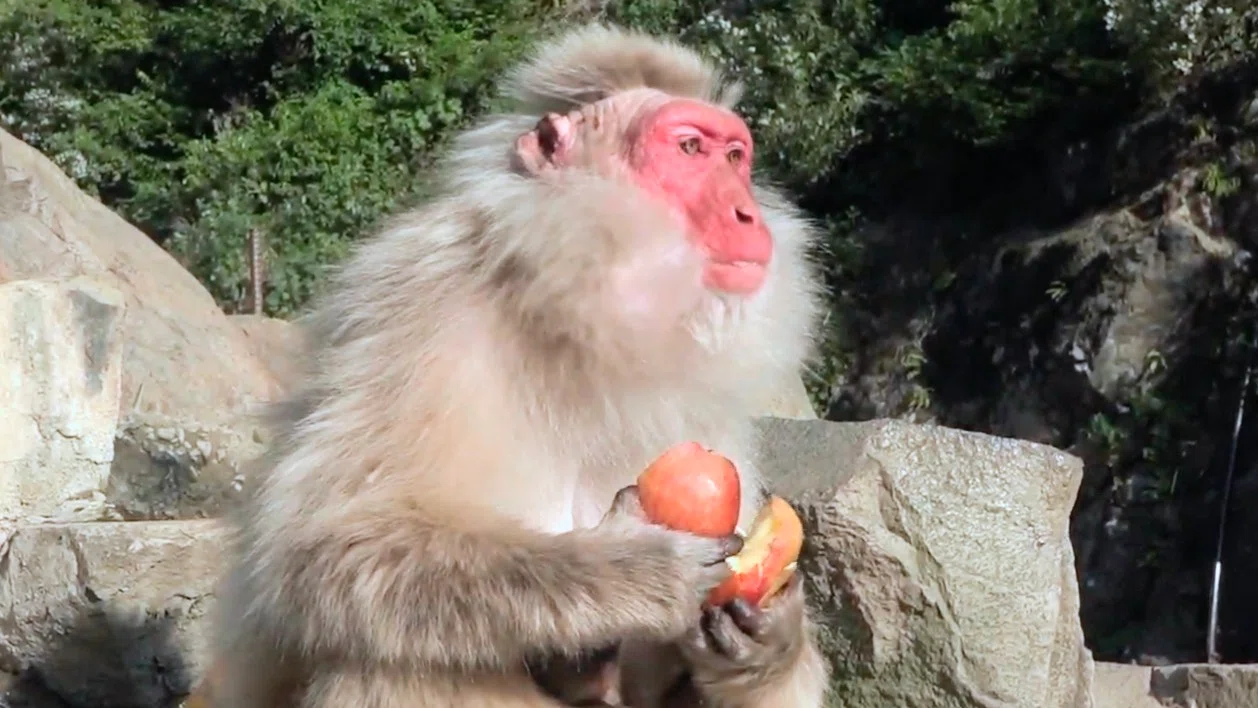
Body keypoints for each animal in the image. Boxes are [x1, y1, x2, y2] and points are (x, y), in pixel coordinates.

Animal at [207, 23, 831, 708]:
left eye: (735, 158)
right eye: (690, 148)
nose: (747, 214)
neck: (574, 312)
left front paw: (770, 646)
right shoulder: (417, 301)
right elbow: (319, 543)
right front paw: (634, 569)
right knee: (390, 659)